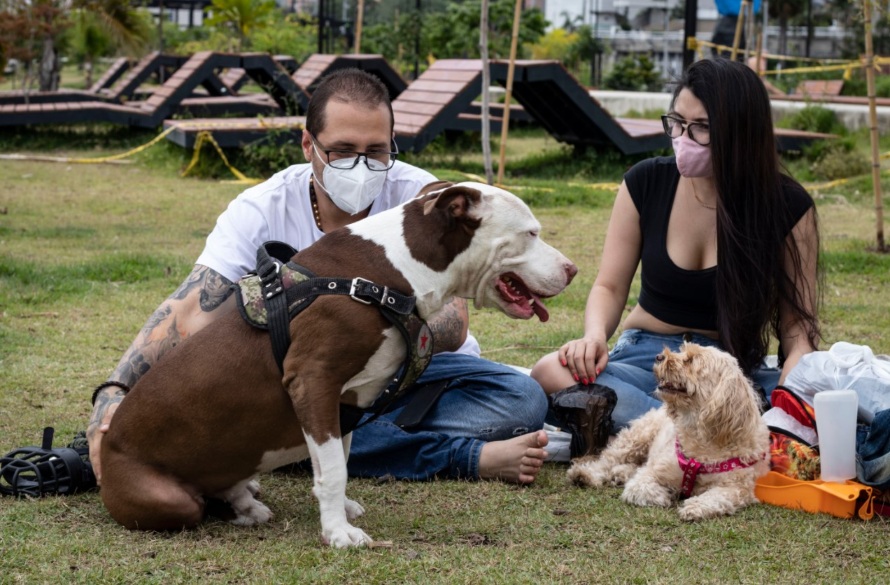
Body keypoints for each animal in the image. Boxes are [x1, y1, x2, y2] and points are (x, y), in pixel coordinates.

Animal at [100, 180, 576, 544]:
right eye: (531, 233)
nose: (572, 269)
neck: (394, 272)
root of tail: (105, 449)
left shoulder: (348, 400)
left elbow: (340, 460)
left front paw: (340, 511)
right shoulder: (314, 380)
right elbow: (332, 469)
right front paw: (337, 532)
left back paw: (247, 500)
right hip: (167, 498)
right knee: (194, 502)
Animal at [568, 342, 772, 520]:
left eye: (691, 360)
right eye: (682, 351)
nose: (659, 356)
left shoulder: (737, 487)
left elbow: (718, 497)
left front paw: (695, 506)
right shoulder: (653, 472)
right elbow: (641, 487)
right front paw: (666, 494)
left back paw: (620, 473)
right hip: (636, 438)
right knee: (607, 460)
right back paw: (585, 475)